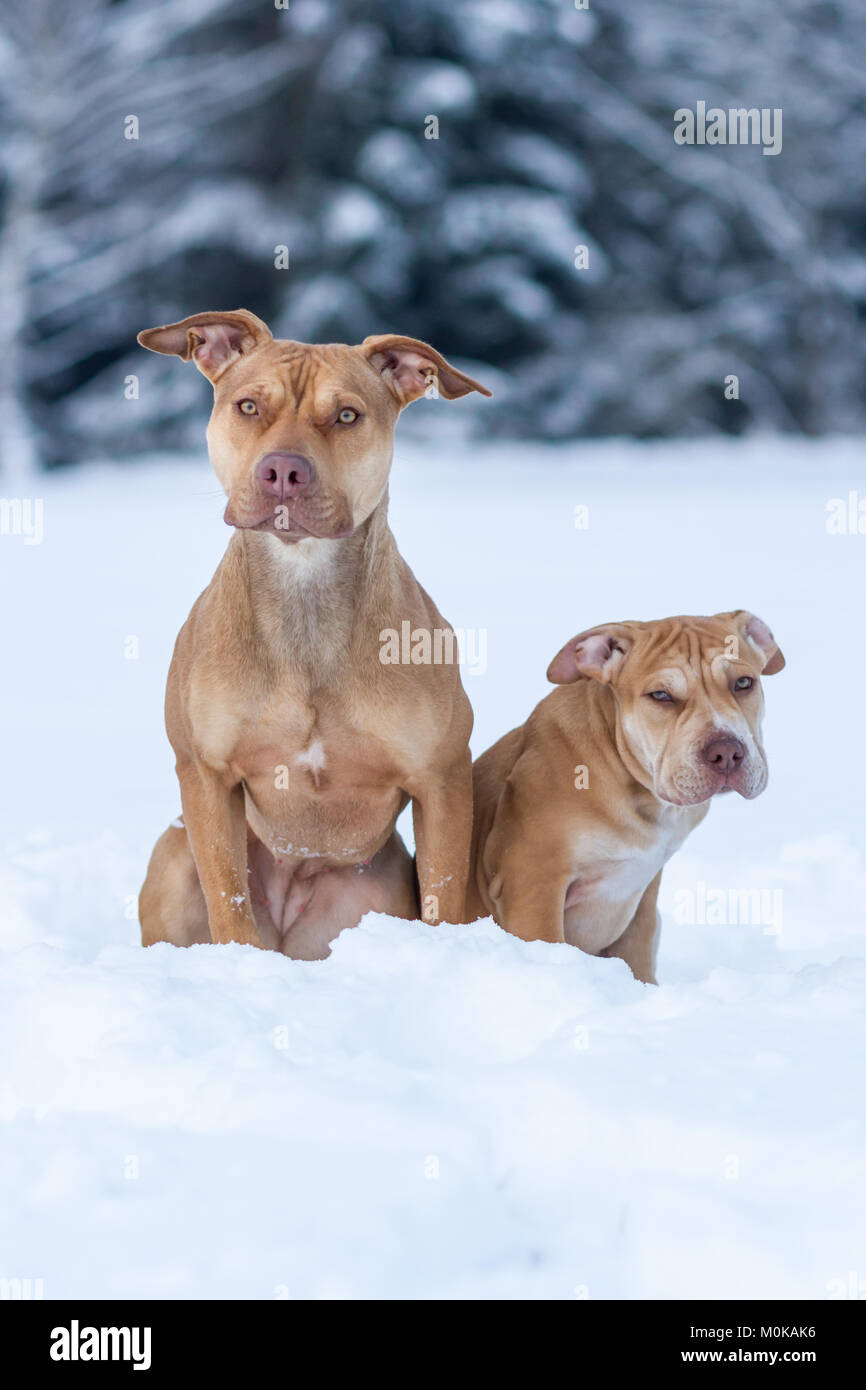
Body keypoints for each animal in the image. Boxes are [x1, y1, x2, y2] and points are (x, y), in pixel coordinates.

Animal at [139, 307, 492, 956]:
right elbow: (228, 900)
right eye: (248, 406)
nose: (283, 470)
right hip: (175, 859)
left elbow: (444, 897)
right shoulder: (204, 774)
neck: (304, 590)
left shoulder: (443, 779)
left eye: (347, 415)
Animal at [467, 614, 783, 984]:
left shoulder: (642, 898)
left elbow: (638, 954)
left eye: (744, 682)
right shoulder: (533, 882)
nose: (727, 752)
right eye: (660, 695)